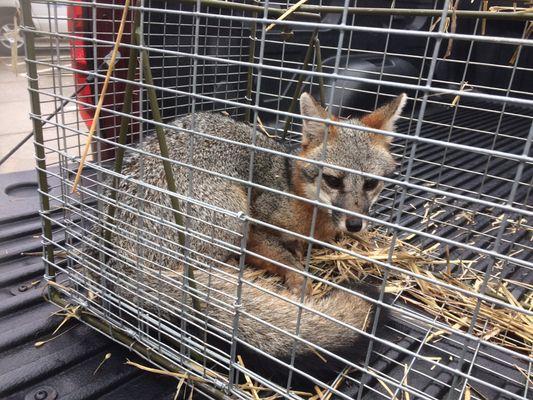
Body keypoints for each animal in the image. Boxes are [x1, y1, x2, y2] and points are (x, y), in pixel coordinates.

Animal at [84, 93, 404, 384]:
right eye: (333, 180)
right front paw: (298, 282)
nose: (354, 224)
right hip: (233, 214)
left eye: (371, 184)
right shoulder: (256, 228)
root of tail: (117, 266)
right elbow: (286, 259)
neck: (294, 189)